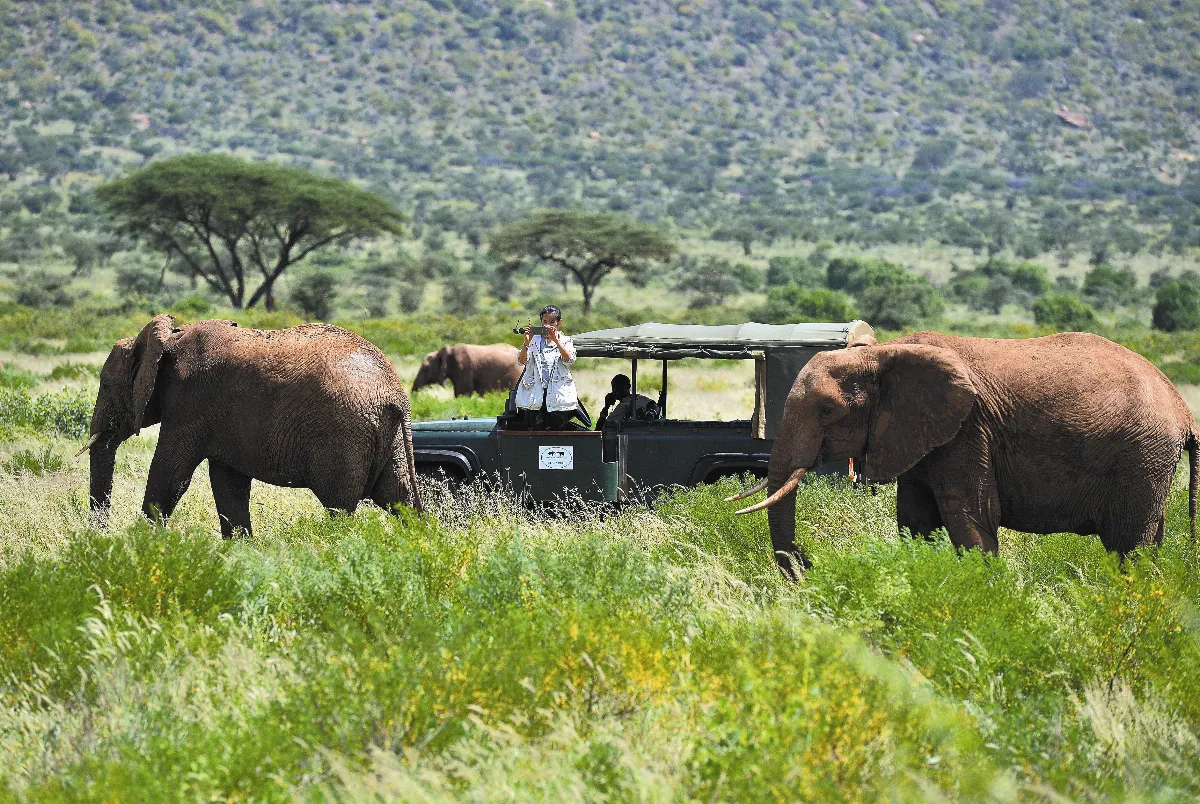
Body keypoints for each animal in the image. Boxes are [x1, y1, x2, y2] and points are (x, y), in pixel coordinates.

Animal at [83, 315, 421, 537]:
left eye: (106, 385)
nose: (100, 535)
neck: (171, 338)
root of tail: (395, 394)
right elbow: (228, 483)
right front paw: (240, 550)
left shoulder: (188, 403)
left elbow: (171, 474)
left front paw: (138, 545)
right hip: (388, 437)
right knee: (399, 498)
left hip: (343, 437)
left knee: (340, 507)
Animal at [731, 331, 1198, 576]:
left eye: (828, 410)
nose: (808, 562)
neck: (885, 353)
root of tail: (1181, 407)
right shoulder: (921, 436)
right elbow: (915, 521)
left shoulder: (968, 432)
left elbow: (969, 516)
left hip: (1142, 457)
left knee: (1130, 545)